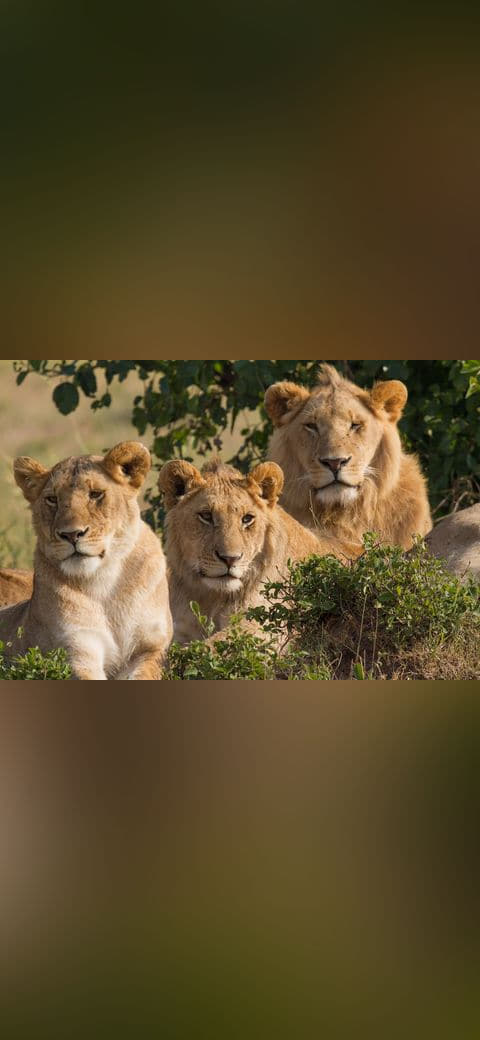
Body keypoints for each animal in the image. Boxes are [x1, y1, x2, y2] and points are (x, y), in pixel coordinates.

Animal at [0, 442, 172, 679]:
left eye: (95, 494)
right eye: (52, 499)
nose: (71, 534)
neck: (105, 582)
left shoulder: (152, 647)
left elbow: (144, 674)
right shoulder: (77, 648)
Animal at [158, 457, 359, 643]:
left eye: (247, 519)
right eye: (206, 516)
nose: (230, 559)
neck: (211, 598)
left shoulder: (266, 624)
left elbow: (208, 647)